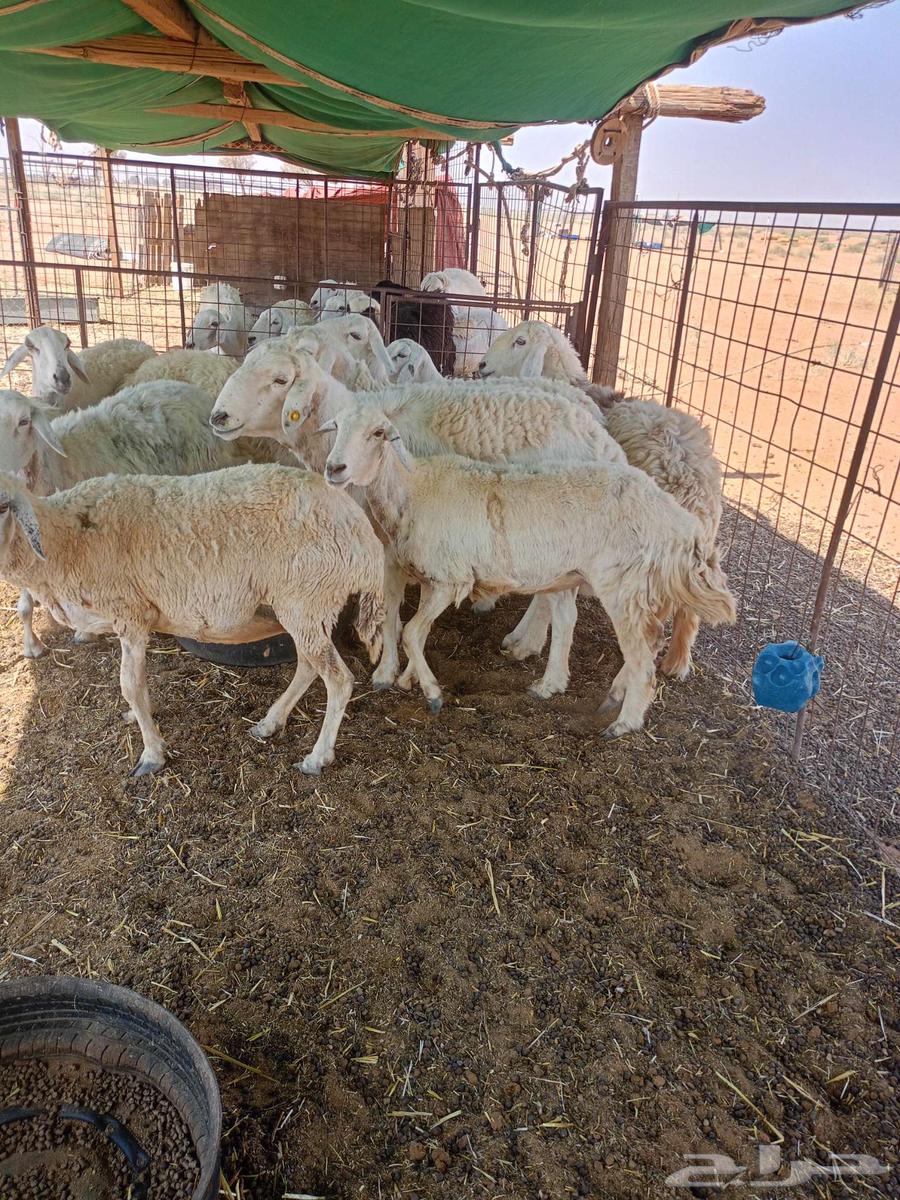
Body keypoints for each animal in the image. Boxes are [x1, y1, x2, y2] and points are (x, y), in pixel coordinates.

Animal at [0, 464, 384, 775]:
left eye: (4, 507)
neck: (66, 540)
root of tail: (364, 535)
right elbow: (139, 684)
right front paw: (139, 718)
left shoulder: (130, 614)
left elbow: (130, 685)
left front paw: (152, 755)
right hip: (305, 607)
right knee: (307, 666)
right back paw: (269, 723)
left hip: (307, 598)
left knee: (338, 679)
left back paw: (316, 758)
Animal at [322, 403, 736, 734]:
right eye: (336, 426)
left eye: (378, 433)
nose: (334, 467)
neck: (414, 487)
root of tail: (675, 517)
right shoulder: (431, 577)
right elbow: (418, 633)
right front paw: (410, 679)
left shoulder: (451, 579)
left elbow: (410, 632)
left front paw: (433, 693)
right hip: (579, 575)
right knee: (587, 626)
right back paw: (558, 686)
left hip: (624, 583)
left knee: (641, 649)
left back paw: (625, 721)